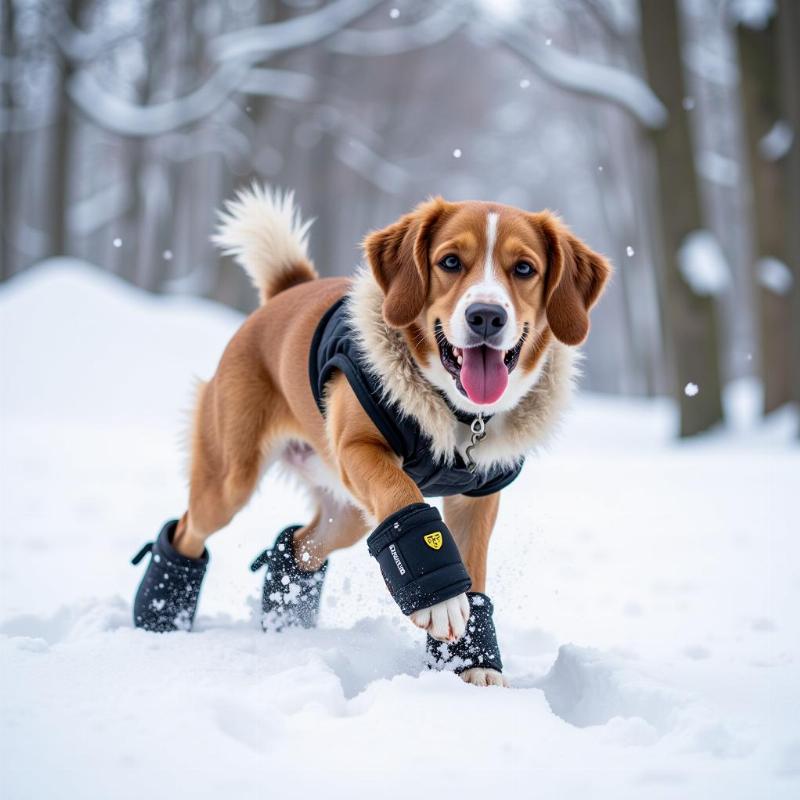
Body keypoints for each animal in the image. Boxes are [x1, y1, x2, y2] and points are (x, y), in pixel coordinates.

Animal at [131, 186, 608, 688]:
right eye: (450, 261)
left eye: (524, 269)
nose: (486, 315)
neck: (459, 415)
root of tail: (286, 291)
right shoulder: (360, 448)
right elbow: (402, 495)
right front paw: (441, 599)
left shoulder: (479, 494)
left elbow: (473, 565)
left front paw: (471, 661)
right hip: (230, 480)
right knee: (188, 530)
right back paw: (159, 615)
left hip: (348, 515)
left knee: (300, 548)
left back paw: (284, 620)